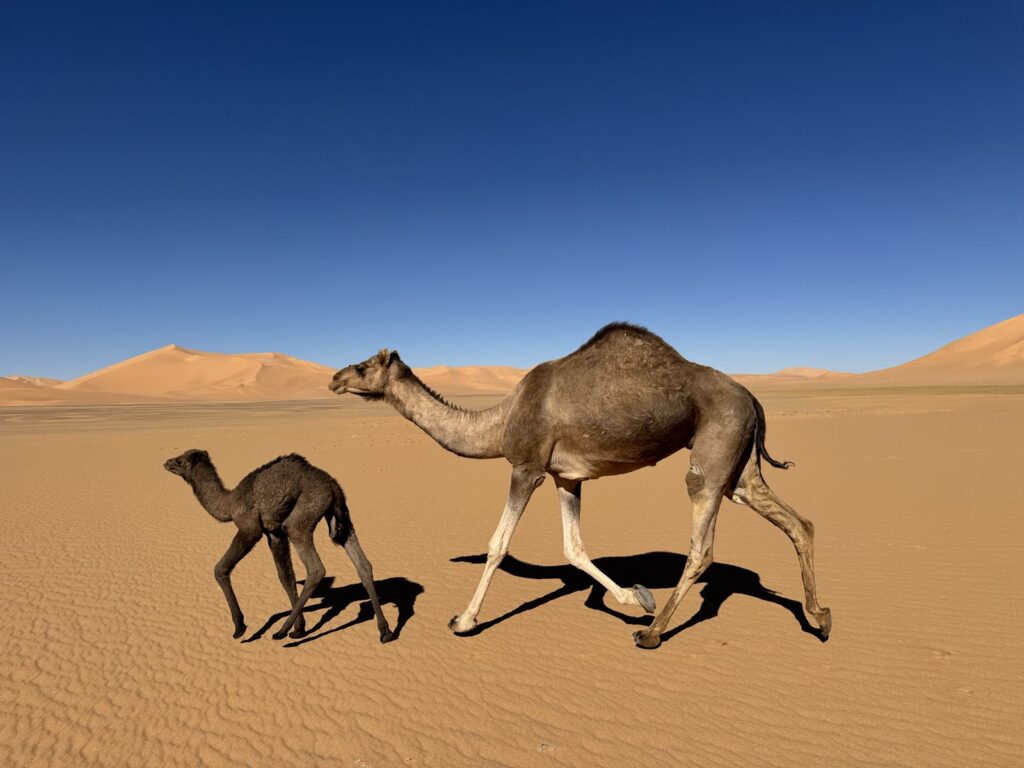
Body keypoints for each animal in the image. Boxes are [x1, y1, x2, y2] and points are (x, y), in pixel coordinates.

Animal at [163, 450, 394, 644]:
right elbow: (285, 577)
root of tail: (332, 485)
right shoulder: (274, 533)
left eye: (180, 460)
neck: (230, 503)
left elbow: (221, 568)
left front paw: (240, 627)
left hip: (303, 515)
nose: (166, 462)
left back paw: (281, 631)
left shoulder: (250, 527)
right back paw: (385, 632)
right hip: (341, 516)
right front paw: (300, 628)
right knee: (363, 564)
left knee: (316, 568)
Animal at [329, 323, 830, 649]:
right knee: (797, 522)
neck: (500, 420)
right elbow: (573, 548)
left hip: (712, 452)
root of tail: (753, 397)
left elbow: (497, 545)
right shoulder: (567, 477)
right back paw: (820, 618)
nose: (334, 377)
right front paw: (635, 596)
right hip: (740, 465)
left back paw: (652, 633)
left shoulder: (527, 467)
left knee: (702, 545)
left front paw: (464, 620)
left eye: (363, 365)